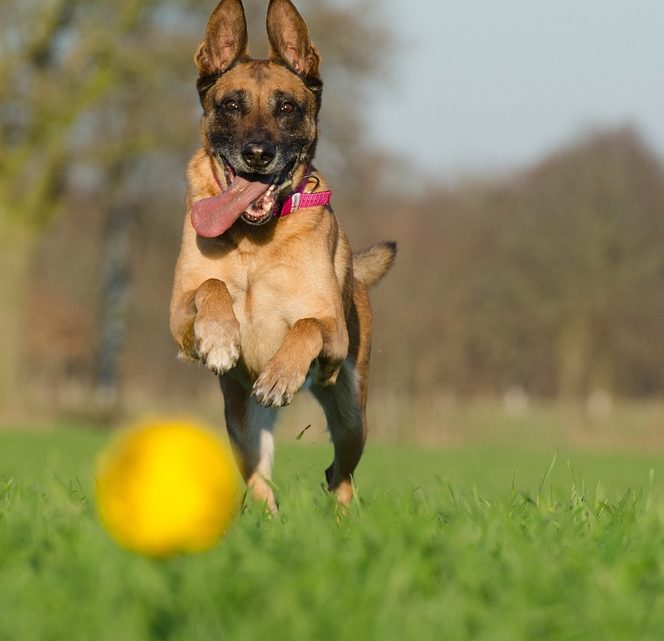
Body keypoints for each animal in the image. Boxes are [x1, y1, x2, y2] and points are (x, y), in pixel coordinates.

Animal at [171, 0, 396, 510]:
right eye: (230, 104)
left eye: (287, 107)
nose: (257, 153)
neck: (256, 241)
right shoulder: (178, 322)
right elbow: (211, 285)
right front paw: (220, 339)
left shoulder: (331, 332)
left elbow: (307, 325)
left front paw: (278, 377)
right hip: (242, 427)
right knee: (261, 484)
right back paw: (268, 523)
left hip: (353, 417)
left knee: (340, 474)